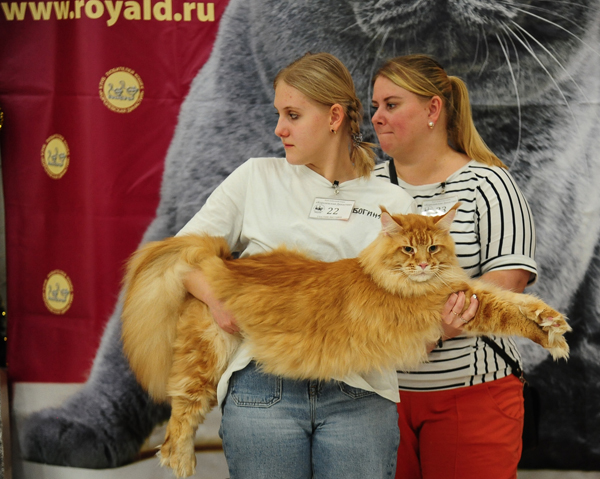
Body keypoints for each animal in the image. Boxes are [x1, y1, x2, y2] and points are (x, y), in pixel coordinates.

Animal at [120, 207, 570, 478]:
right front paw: (549, 331)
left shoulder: (461, 291)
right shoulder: (449, 303)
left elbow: (513, 301)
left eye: (433, 247)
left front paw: (552, 324)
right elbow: (505, 310)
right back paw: (180, 461)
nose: (424, 264)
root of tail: (223, 258)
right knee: (179, 417)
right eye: (408, 248)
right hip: (206, 359)